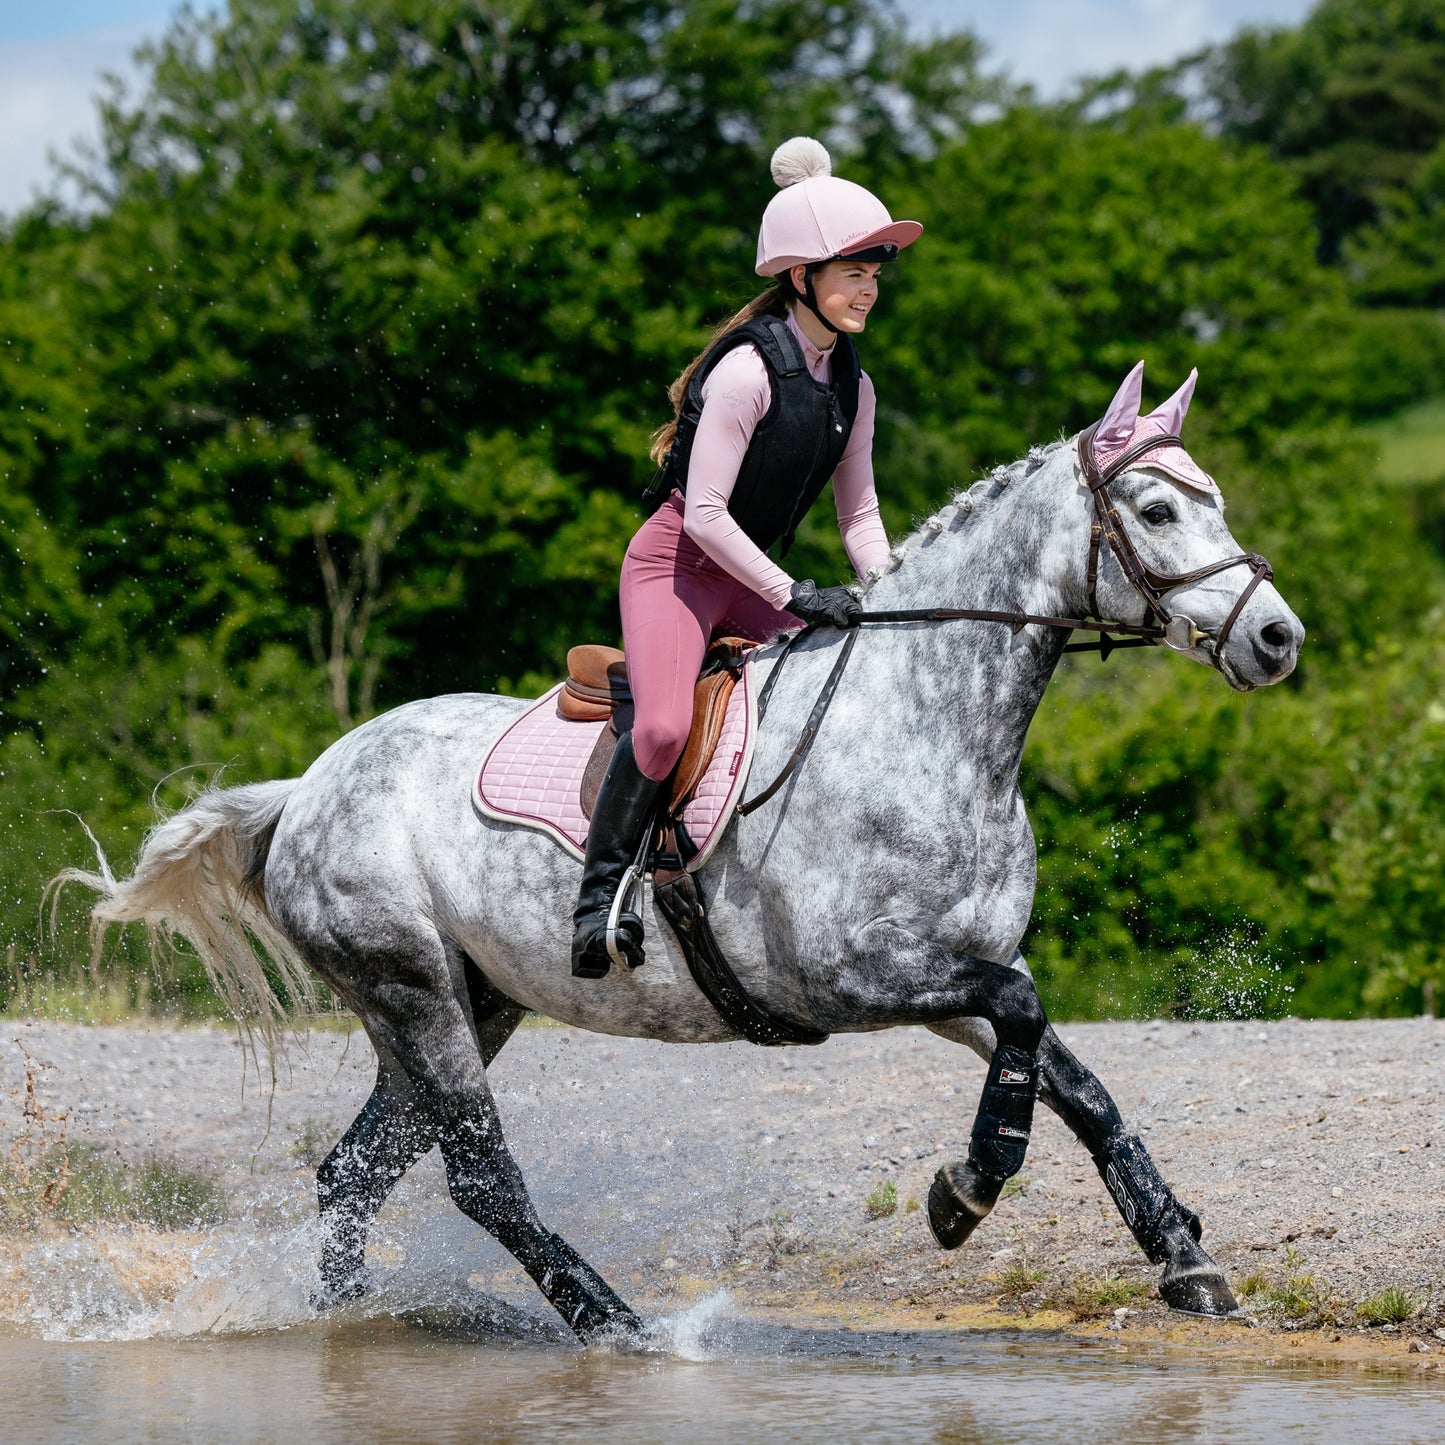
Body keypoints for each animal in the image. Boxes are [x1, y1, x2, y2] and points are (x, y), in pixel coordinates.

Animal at [67, 364, 1306, 1340]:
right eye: (1154, 508)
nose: (1275, 637)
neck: (924, 724)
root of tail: (309, 785)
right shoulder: (851, 977)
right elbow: (1022, 1027)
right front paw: (965, 1190)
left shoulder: (952, 969)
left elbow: (1066, 1070)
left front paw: (1182, 1256)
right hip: (409, 986)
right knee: (478, 1177)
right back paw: (615, 1321)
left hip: (462, 1000)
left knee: (353, 1171)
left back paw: (342, 1318)